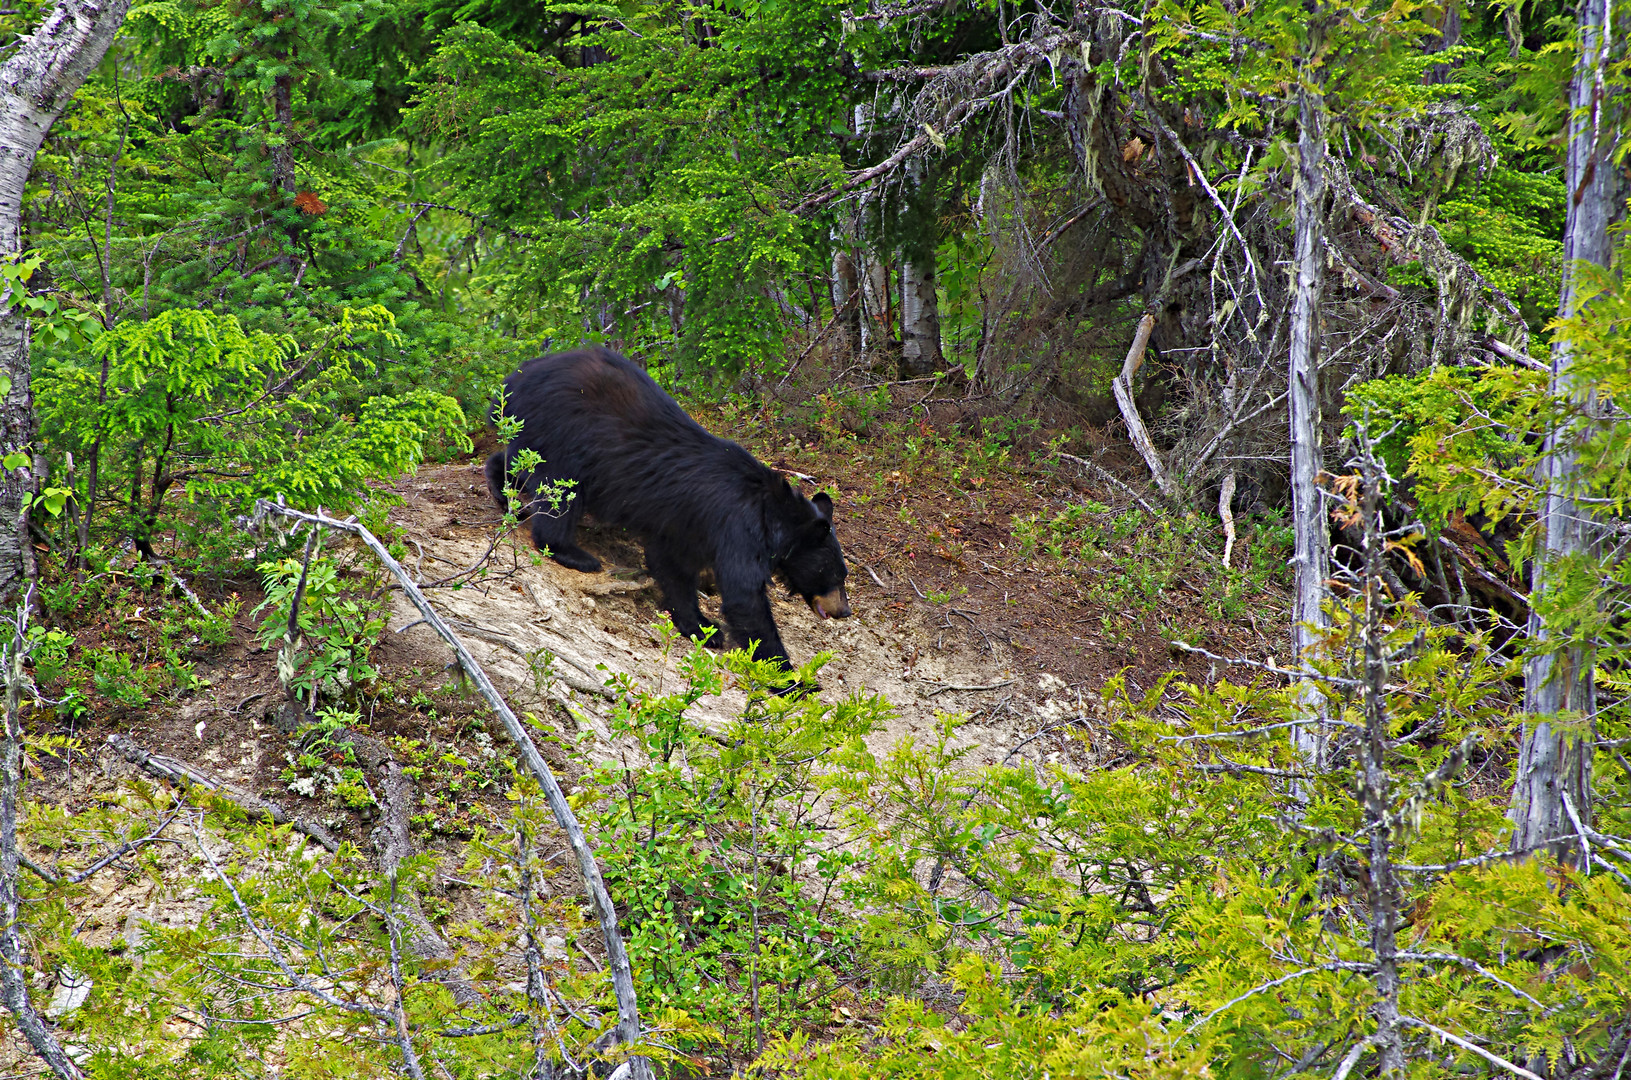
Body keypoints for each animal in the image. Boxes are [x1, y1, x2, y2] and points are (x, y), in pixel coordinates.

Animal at [486, 347, 854, 668]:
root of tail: (513, 379)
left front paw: (700, 627)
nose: (845, 611)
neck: (771, 513)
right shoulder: (737, 528)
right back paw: (573, 553)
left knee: (519, 462)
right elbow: (744, 599)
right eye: (836, 573)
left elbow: (673, 566)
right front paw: (790, 677)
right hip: (566, 433)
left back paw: (504, 492)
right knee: (560, 492)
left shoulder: (685, 524)